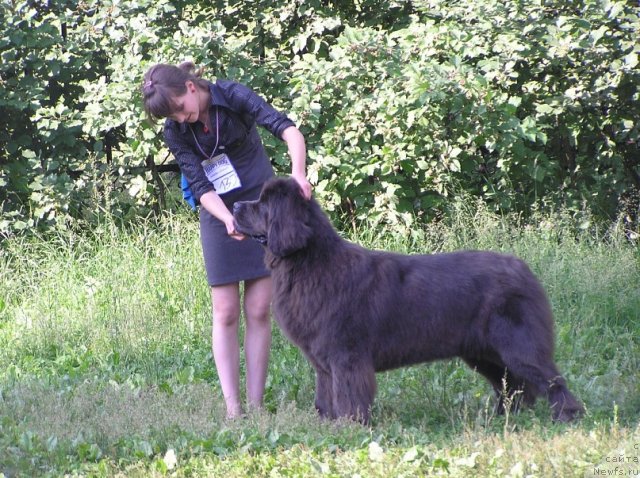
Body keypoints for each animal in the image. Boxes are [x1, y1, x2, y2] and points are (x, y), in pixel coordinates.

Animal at [235, 177, 584, 424]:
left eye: (263, 204)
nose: (236, 205)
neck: (310, 263)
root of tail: (523, 269)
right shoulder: (324, 361)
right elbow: (326, 395)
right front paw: (327, 423)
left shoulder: (346, 356)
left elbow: (348, 394)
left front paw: (350, 426)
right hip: (484, 352)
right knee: (512, 385)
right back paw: (504, 417)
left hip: (518, 344)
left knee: (549, 379)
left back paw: (567, 416)